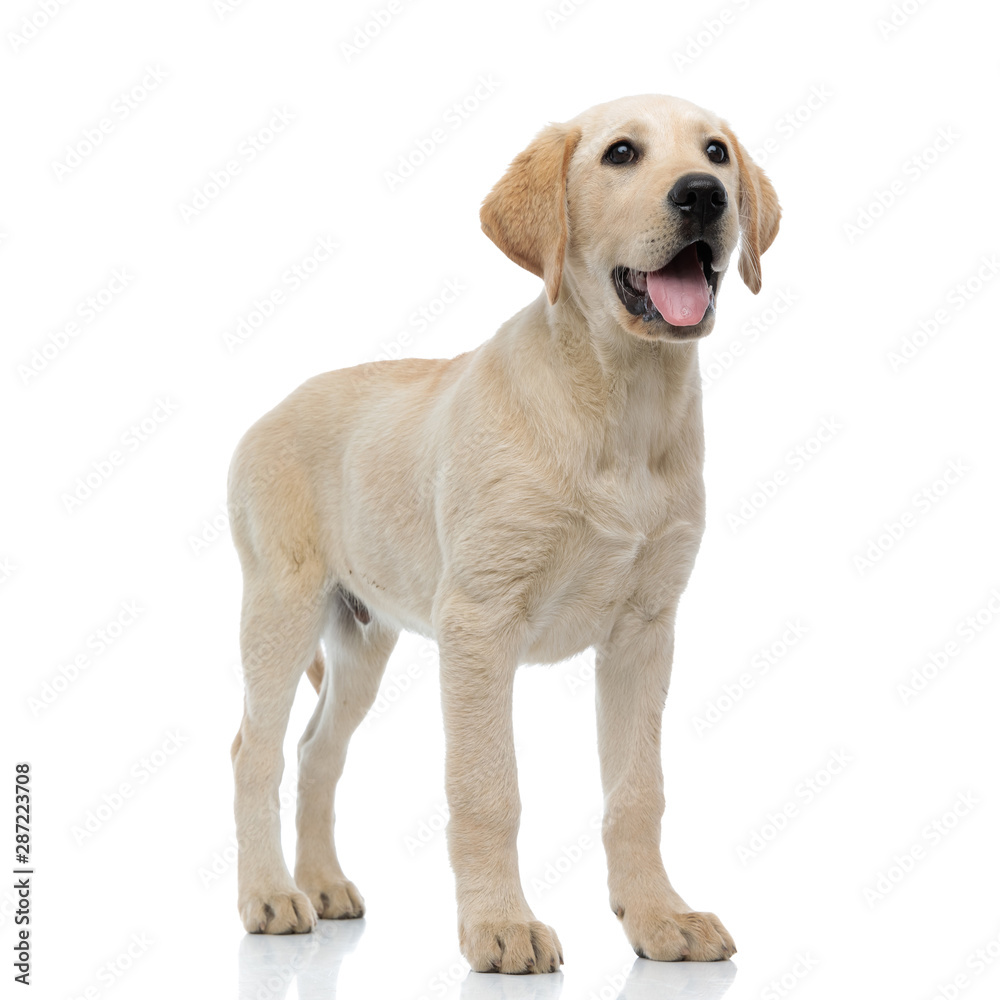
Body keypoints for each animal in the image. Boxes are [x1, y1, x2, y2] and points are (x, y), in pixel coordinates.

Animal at [229, 92, 780, 968]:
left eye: (717, 152)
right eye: (621, 153)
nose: (703, 195)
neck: (621, 405)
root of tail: (269, 410)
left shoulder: (645, 630)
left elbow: (638, 789)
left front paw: (658, 917)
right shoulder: (480, 625)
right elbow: (488, 787)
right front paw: (500, 926)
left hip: (363, 637)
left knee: (318, 752)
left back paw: (323, 884)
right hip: (281, 609)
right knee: (256, 752)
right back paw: (271, 895)